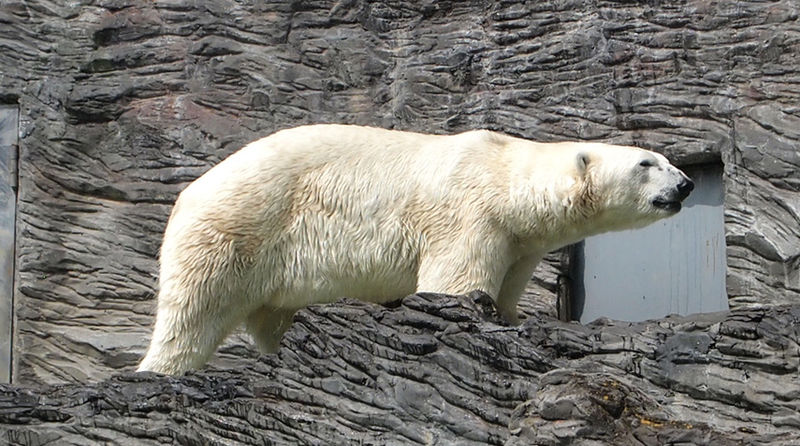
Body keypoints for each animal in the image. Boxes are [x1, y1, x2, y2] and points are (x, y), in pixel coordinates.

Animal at [138, 123, 692, 374]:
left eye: (662, 158)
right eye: (646, 163)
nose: (686, 184)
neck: (504, 175)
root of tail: (188, 193)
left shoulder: (518, 242)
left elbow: (508, 286)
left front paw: (511, 319)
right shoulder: (469, 215)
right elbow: (455, 281)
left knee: (270, 316)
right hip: (237, 227)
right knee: (195, 310)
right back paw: (164, 370)